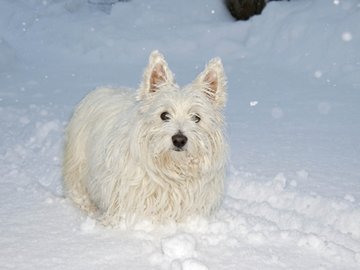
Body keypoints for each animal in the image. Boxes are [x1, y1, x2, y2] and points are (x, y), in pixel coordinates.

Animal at [63, 50, 226, 226]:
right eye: (164, 115)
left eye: (196, 117)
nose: (179, 140)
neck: (172, 171)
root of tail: (100, 89)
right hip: (78, 166)